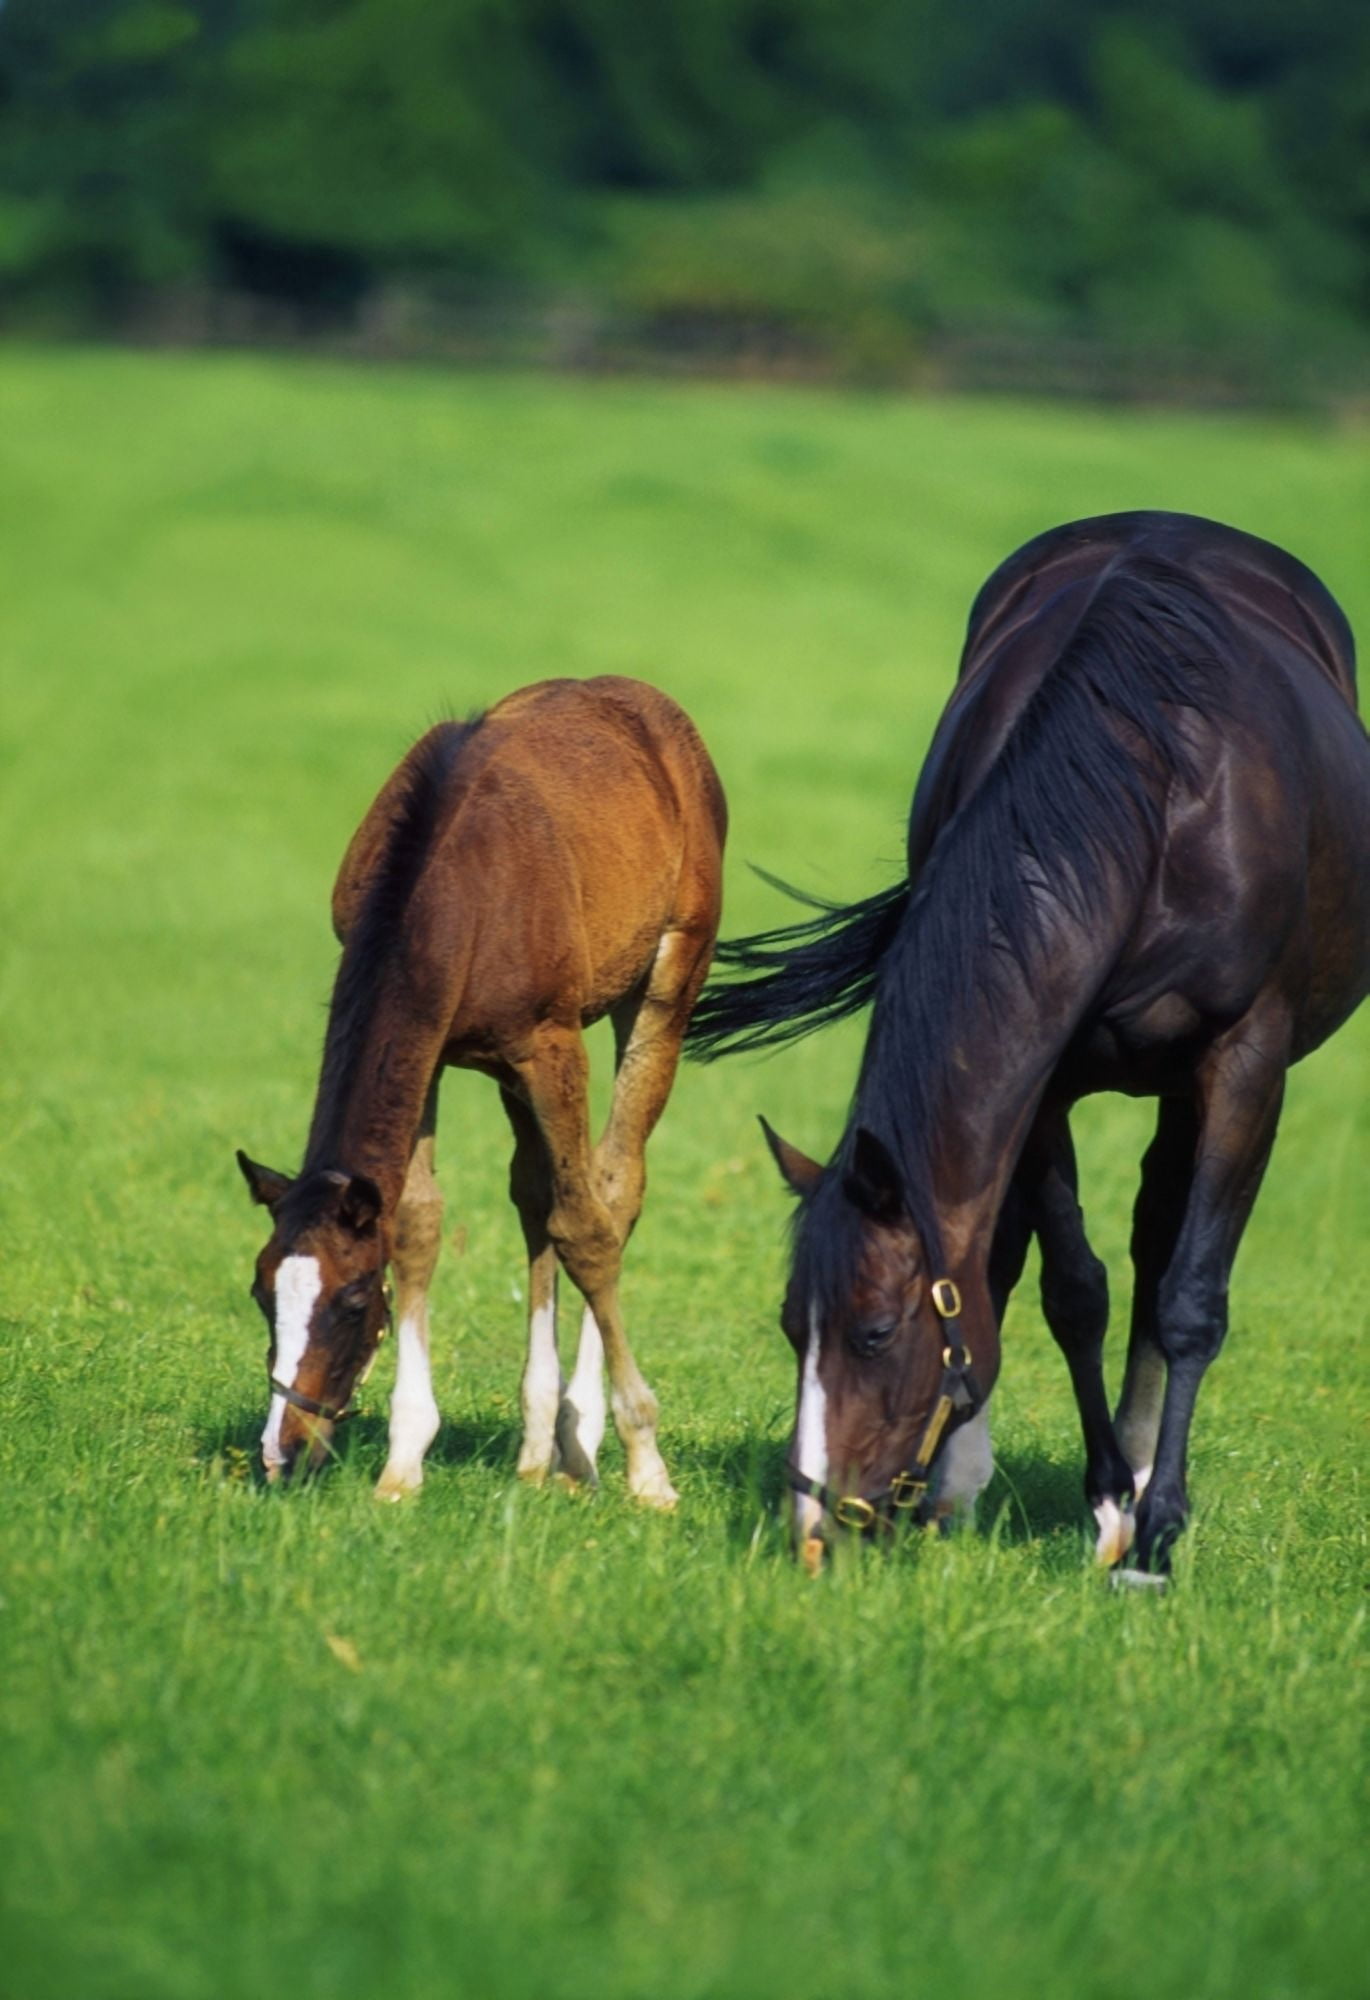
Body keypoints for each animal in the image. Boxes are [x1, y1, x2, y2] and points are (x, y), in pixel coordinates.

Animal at [237, 675, 726, 1504]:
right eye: (262, 1292)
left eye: (353, 1300)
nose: (283, 1451)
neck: (450, 886)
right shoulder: (433, 1050)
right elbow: (419, 1221)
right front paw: (403, 1461)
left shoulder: (551, 1045)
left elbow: (586, 1228)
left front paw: (647, 1464)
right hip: (504, 1068)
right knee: (534, 1192)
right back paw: (537, 1445)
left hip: (666, 984)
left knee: (613, 1186)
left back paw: (583, 1439)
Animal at [687, 512, 1369, 1578]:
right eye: (792, 1327)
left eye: (874, 1333)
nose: (814, 1530)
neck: (1151, 797)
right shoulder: (1045, 1078)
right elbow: (1068, 1288)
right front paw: (1094, 1499)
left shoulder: (1245, 1065)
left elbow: (1189, 1296)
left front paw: (1150, 1533)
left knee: (1165, 1241)